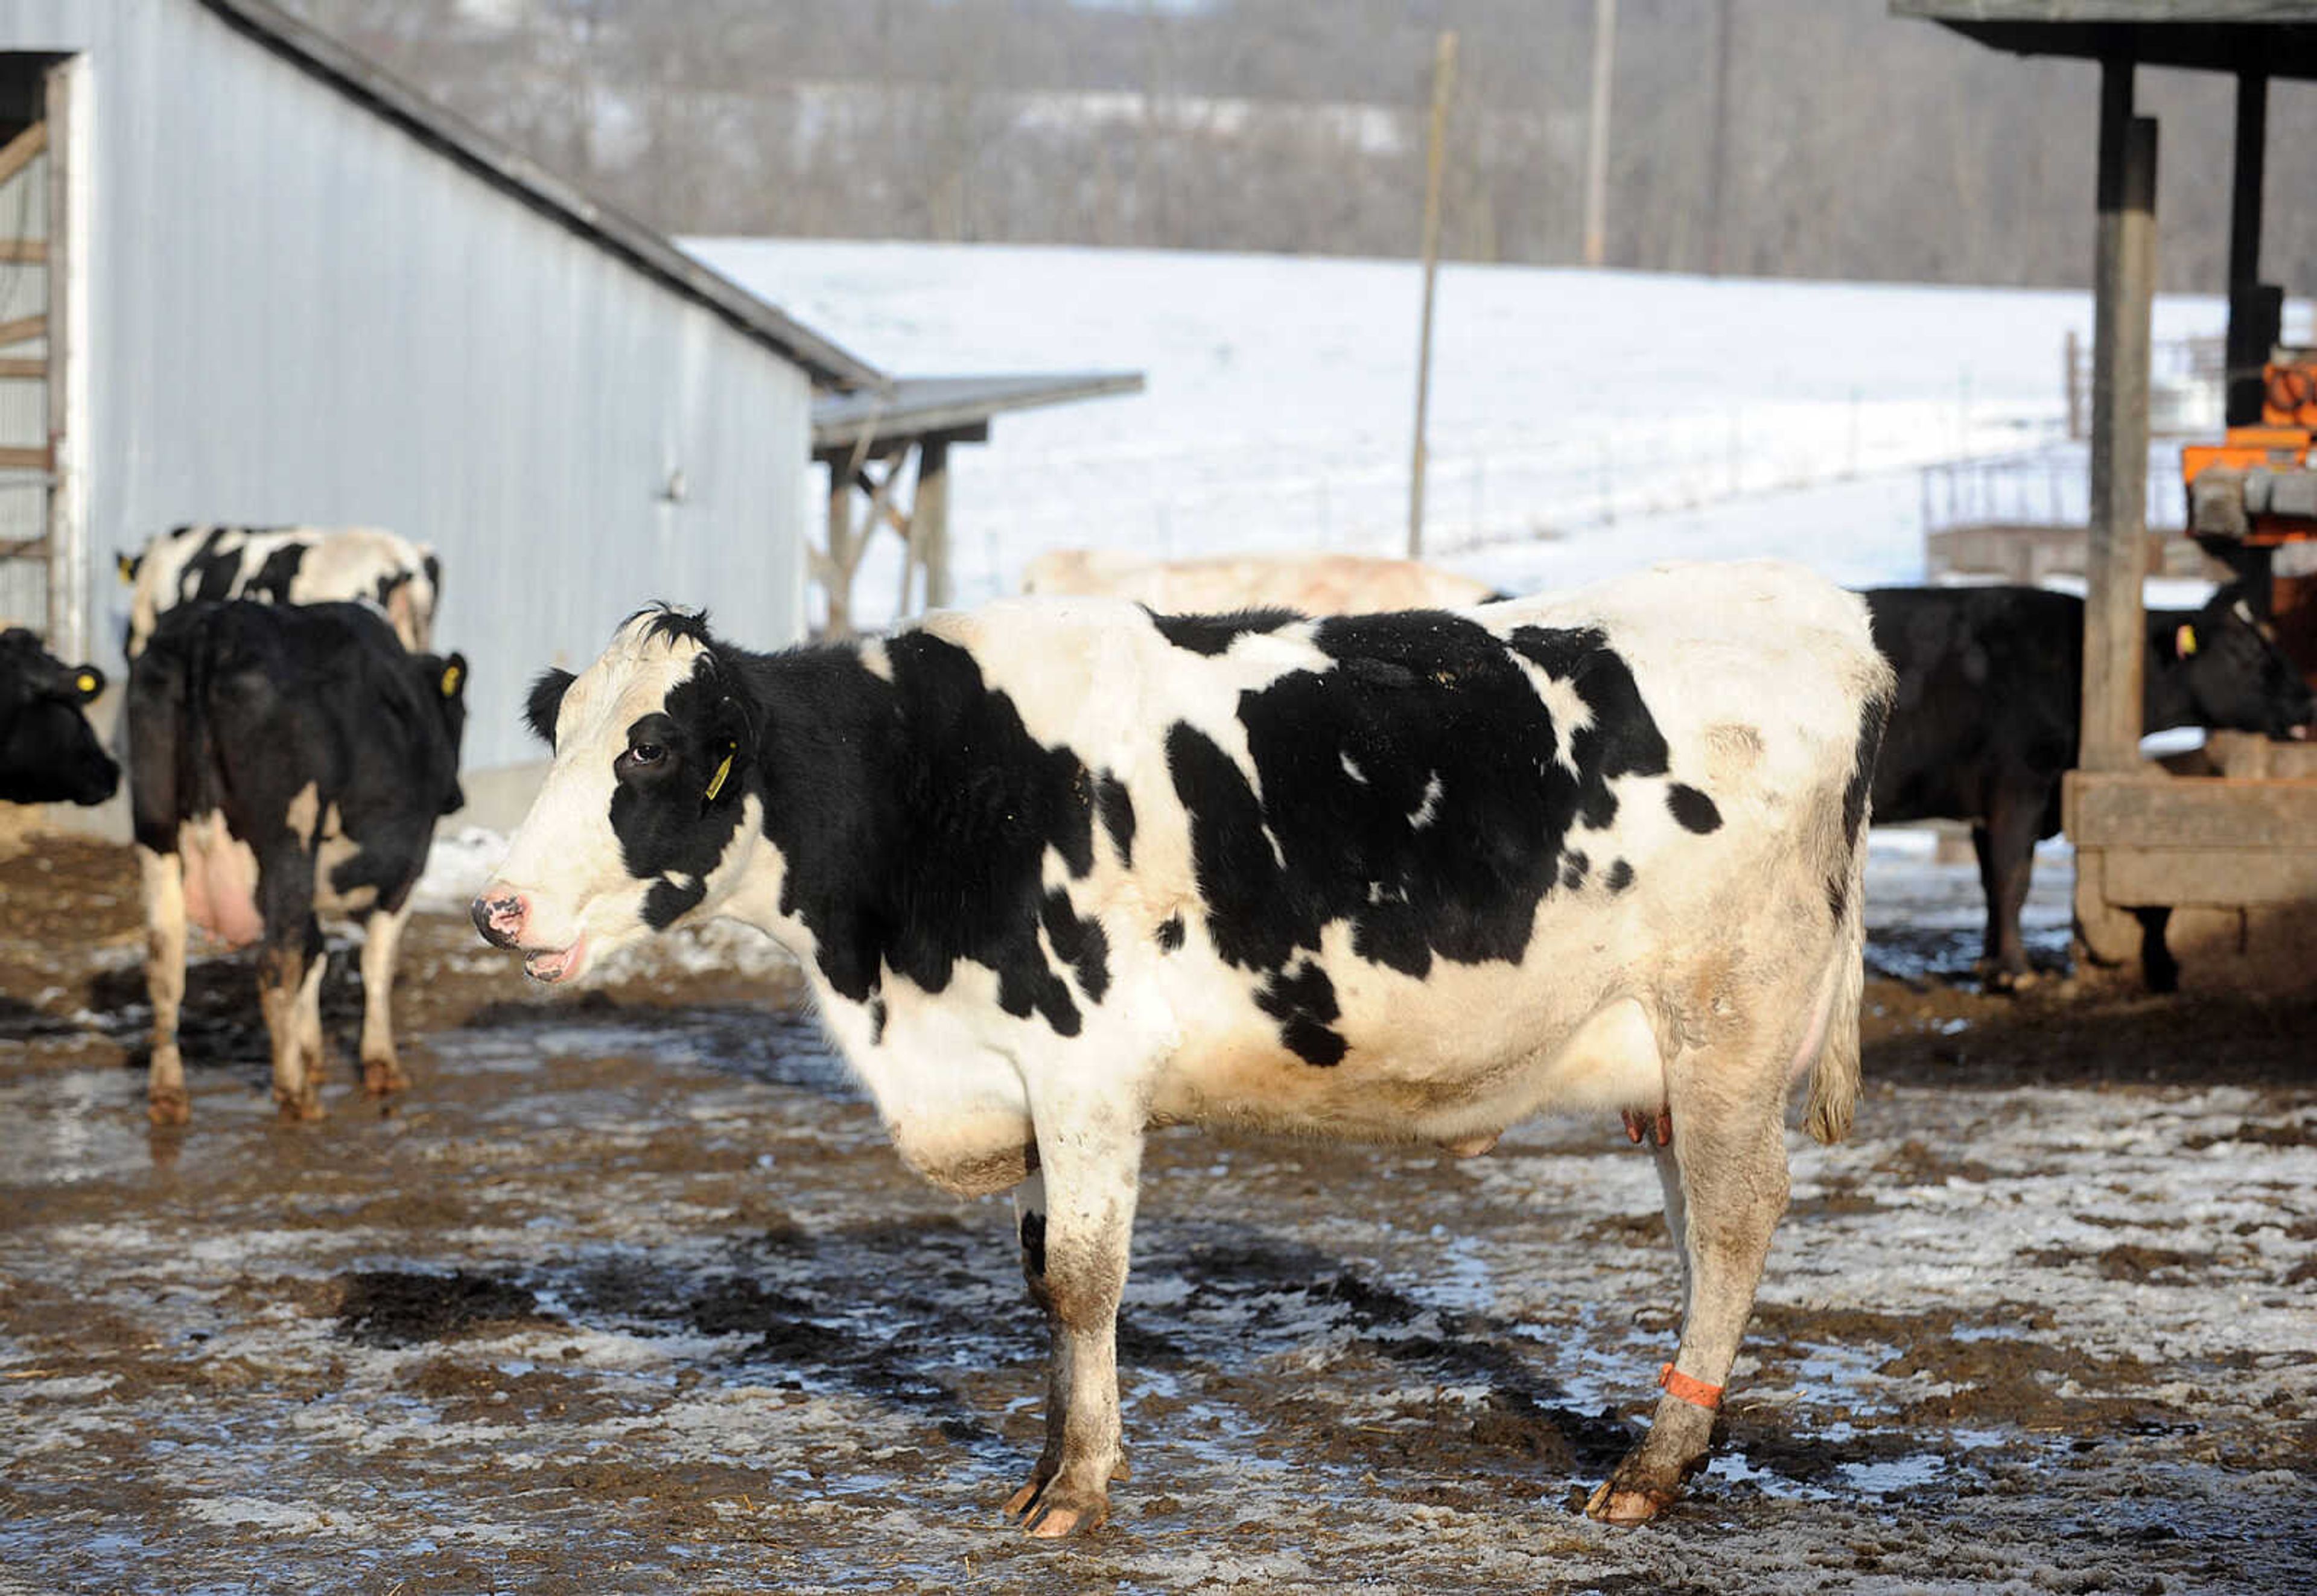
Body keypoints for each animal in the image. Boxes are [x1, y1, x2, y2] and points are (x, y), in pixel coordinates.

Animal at [130, 593, 470, 1121]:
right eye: (462, 715)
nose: (456, 797)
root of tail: (214, 622)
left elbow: (315, 953)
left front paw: (311, 1053)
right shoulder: (408, 865)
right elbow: (374, 961)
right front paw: (379, 1065)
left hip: (156, 833)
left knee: (165, 965)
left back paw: (168, 1095)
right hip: (288, 839)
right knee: (275, 963)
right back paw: (293, 1092)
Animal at [475, 562, 1899, 1528]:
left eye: (651, 746)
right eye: (563, 734)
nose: (502, 907)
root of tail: (1823, 612)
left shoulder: (1085, 1063)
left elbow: (1086, 1280)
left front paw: (1080, 1489)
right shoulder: (1020, 1080)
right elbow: (1042, 1278)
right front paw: (1047, 1463)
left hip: (1728, 1022)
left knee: (1734, 1223)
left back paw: (1652, 1467)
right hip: (1677, 1061)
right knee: (1701, 1231)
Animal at [1863, 586, 2317, 982]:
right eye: (2246, 649)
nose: (2308, 699)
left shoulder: (1984, 804)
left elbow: (1991, 881)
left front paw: (1990, 964)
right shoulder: (2020, 785)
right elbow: (2014, 876)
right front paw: (2016, 971)